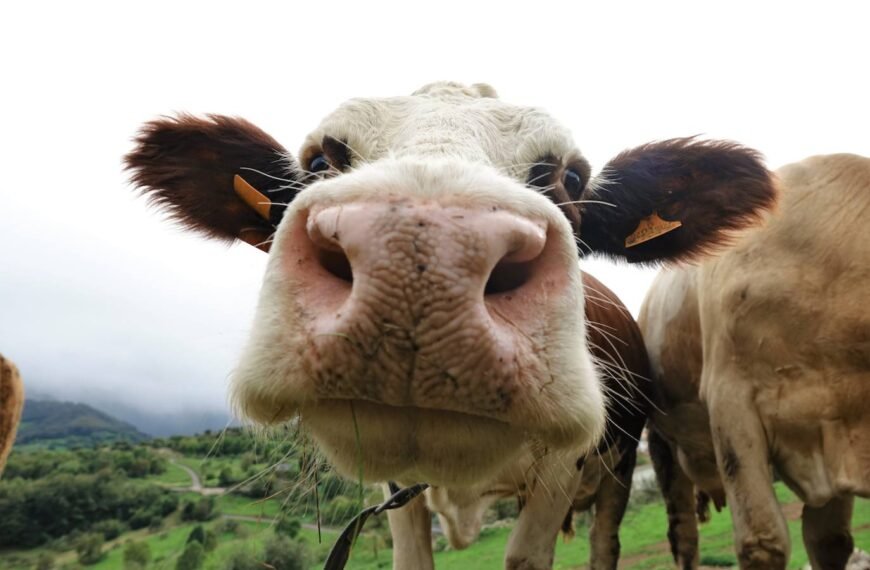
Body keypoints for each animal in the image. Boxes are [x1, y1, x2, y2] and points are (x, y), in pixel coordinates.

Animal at [125, 82, 777, 569]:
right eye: (319, 162)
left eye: (569, 178)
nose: (422, 253)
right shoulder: (394, 493)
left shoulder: (567, 469)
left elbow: (525, 556)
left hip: (619, 465)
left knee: (604, 542)